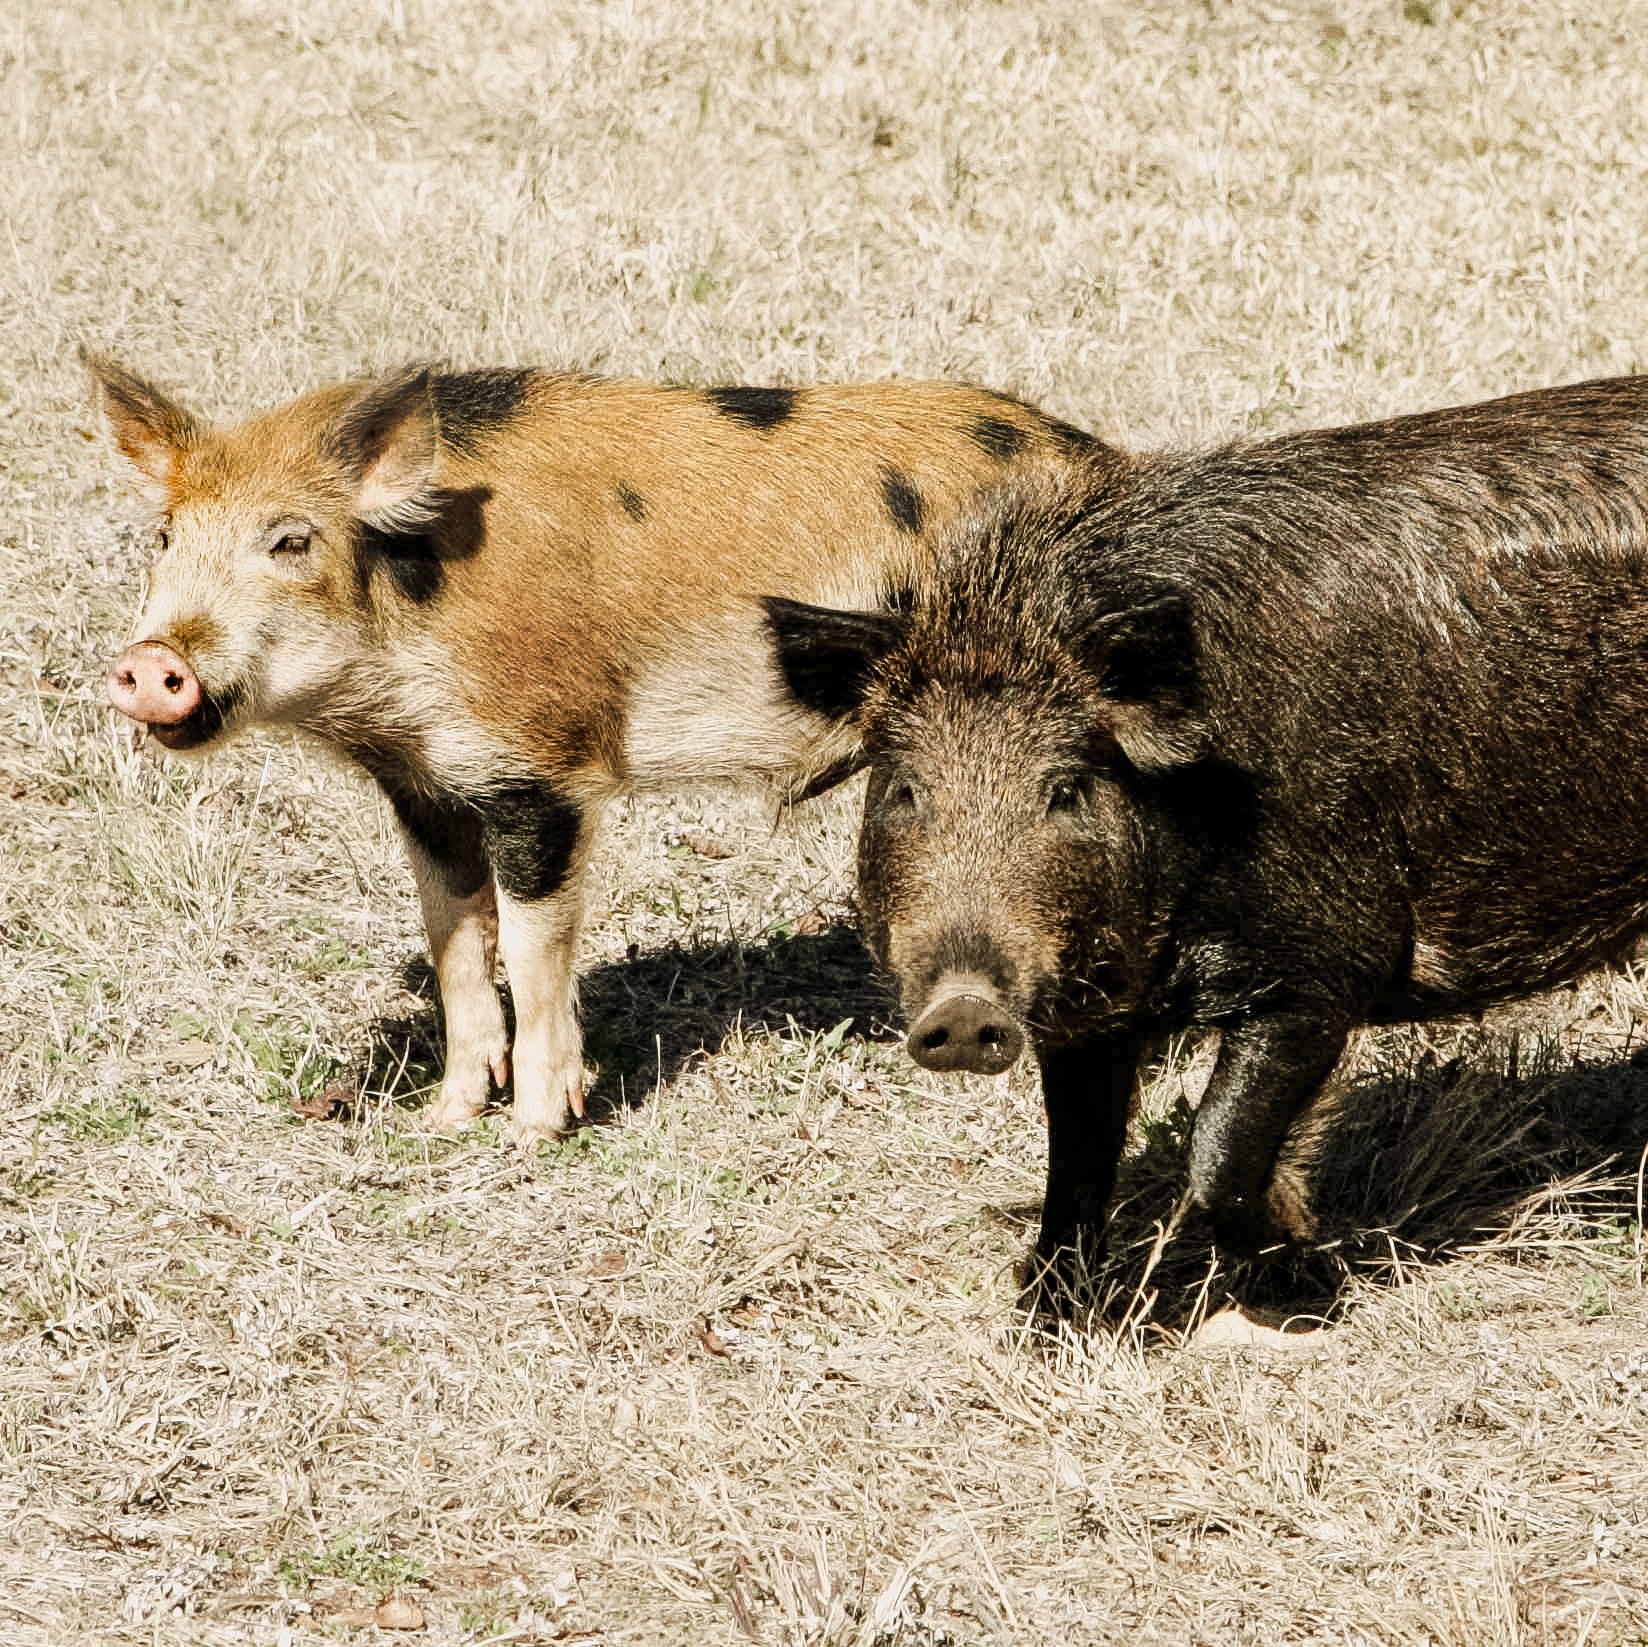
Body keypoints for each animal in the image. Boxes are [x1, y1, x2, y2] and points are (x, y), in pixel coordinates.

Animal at [89, 350, 1109, 1141]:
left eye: (291, 540)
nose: (149, 660)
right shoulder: (424, 786)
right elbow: (453, 938)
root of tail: (1102, 459)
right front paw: (443, 1120)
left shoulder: (544, 768)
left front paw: (536, 1132)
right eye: (166, 535)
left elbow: (531, 944)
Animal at [764, 373, 1648, 1298]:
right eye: (904, 788)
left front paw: (1308, 1273)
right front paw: (1049, 1306)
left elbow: (1218, 1148)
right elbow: (1076, 1156)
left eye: (1068, 788)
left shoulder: (1330, 965)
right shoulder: (1087, 1012)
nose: (964, 1009)